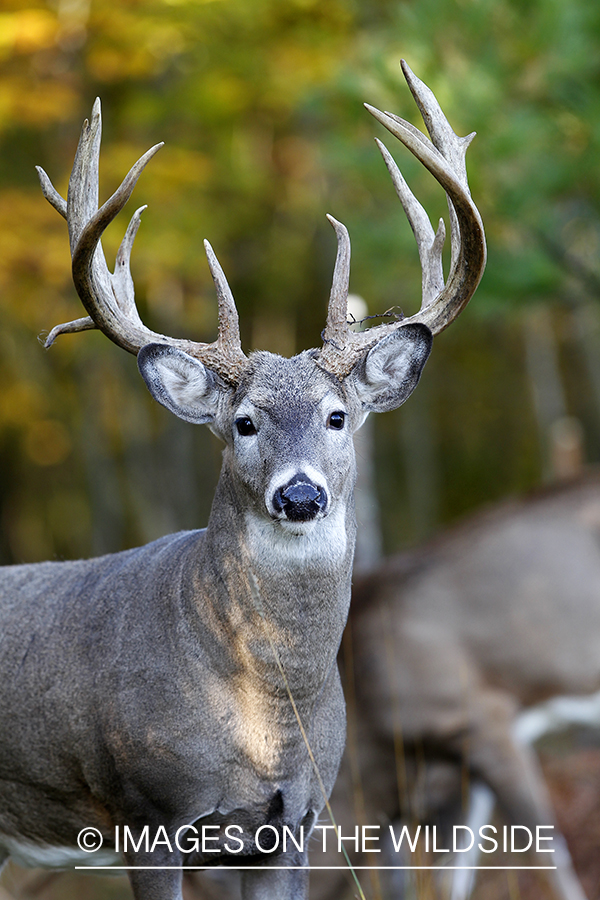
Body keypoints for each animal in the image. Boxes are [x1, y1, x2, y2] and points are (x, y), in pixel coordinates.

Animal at [0, 63, 486, 900]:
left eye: (336, 416)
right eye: (245, 423)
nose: (300, 495)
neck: (267, 714)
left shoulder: (294, 822)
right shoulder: (147, 814)